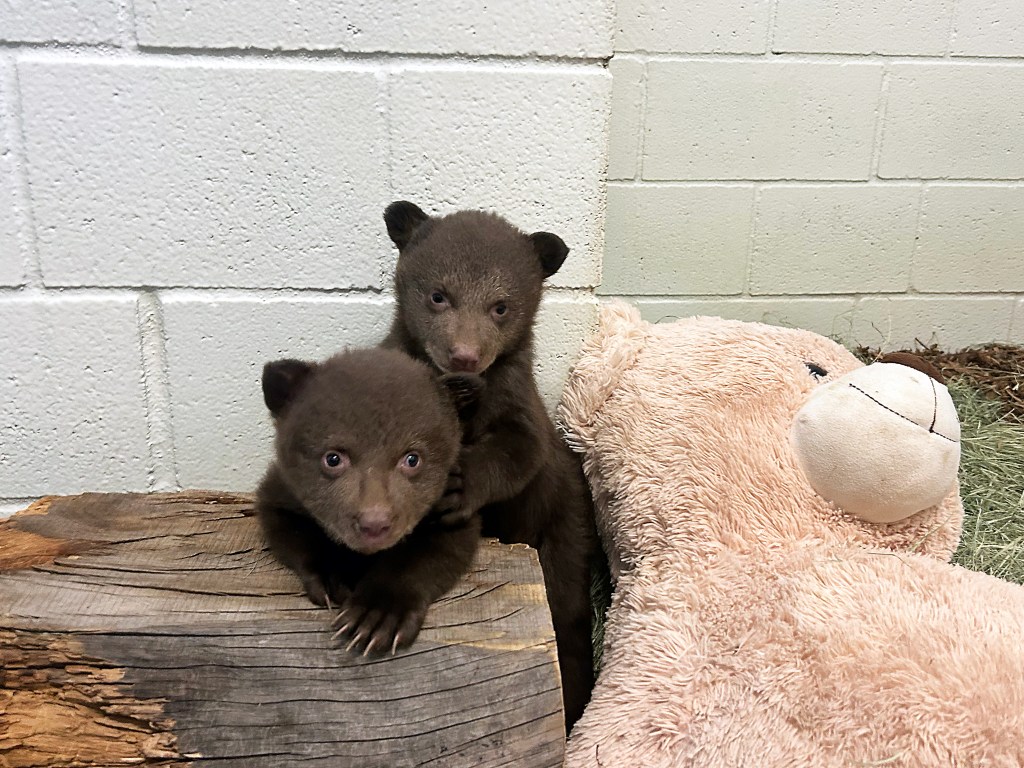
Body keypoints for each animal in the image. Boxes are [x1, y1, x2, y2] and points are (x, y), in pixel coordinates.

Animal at [255, 346, 483, 656]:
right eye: (333, 458)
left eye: (412, 458)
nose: (374, 524)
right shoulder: (282, 490)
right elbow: (287, 526)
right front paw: (331, 576)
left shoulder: (449, 505)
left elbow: (436, 550)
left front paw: (377, 616)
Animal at [380, 200, 597, 730]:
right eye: (438, 295)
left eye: (501, 306)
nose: (464, 355)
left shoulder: (518, 400)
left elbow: (521, 449)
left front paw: (458, 485)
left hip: (566, 527)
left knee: (568, 611)